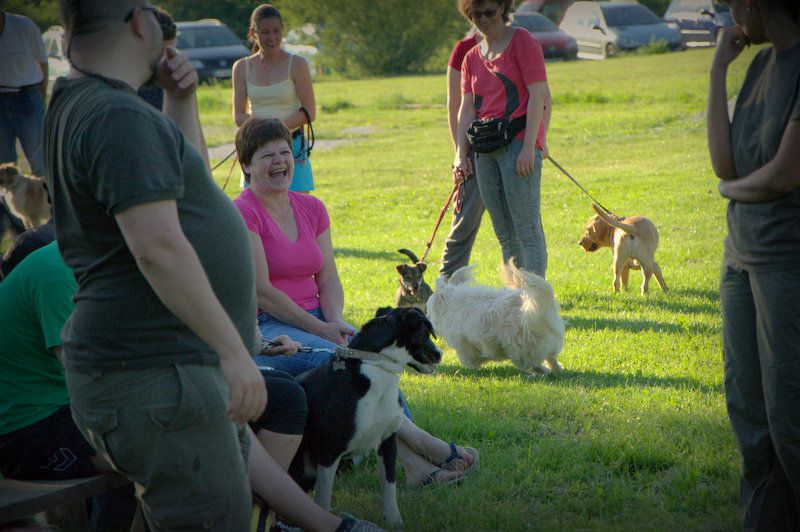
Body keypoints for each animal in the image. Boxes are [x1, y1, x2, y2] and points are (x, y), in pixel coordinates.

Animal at [428, 260, 564, 376]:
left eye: (428, 311)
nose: (428, 319)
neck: (450, 302)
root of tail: (533, 312)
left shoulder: (464, 344)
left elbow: (467, 359)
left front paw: (478, 362)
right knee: (550, 358)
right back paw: (557, 369)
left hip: (518, 349)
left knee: (530, 363)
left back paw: (541, 371)